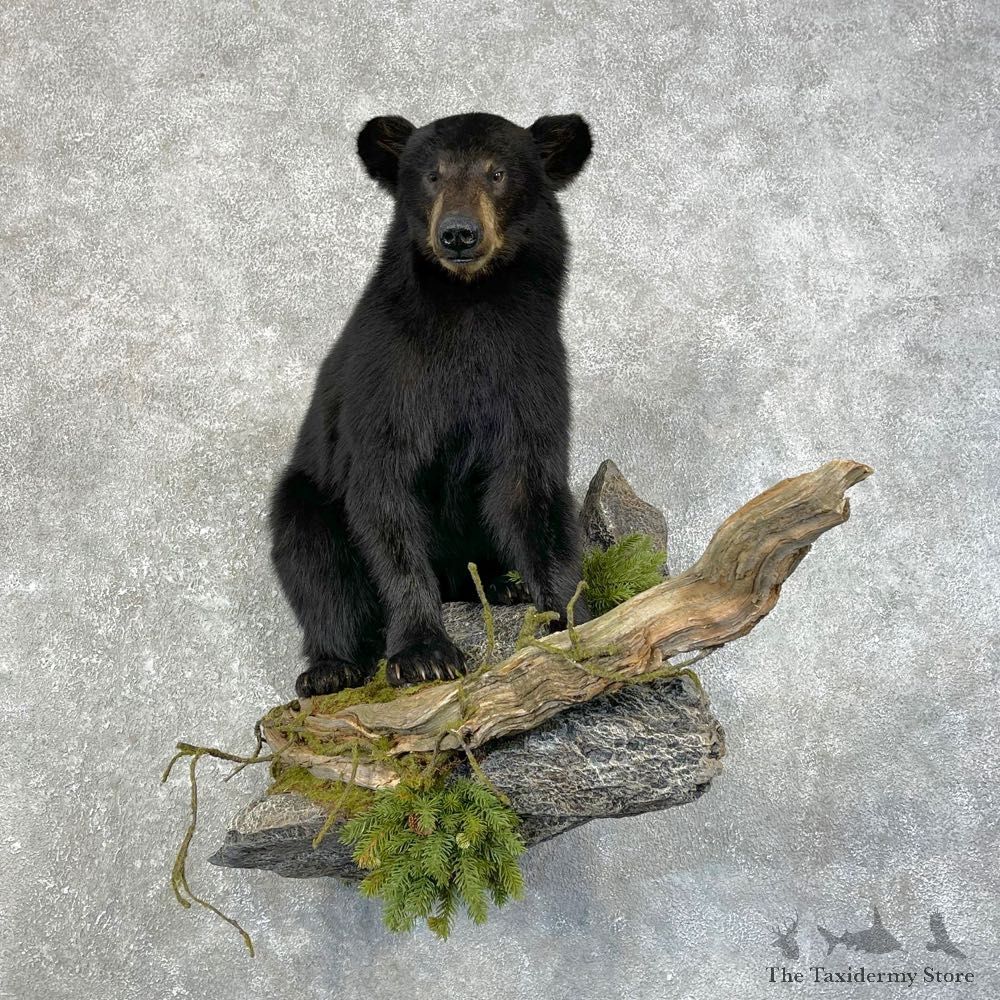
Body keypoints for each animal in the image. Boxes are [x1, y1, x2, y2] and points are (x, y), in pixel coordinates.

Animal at [269, 111, 593, 698]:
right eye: (432, 175)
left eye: (497, 172)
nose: (459, 233)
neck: (468, 306)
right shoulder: (390, 378)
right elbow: (385, 494)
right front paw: (424, 655)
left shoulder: (529, 371)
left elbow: (532, 490)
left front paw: (569, 618)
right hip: (304, 497)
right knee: (316, 567)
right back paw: (330, 668)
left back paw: (501, 583)